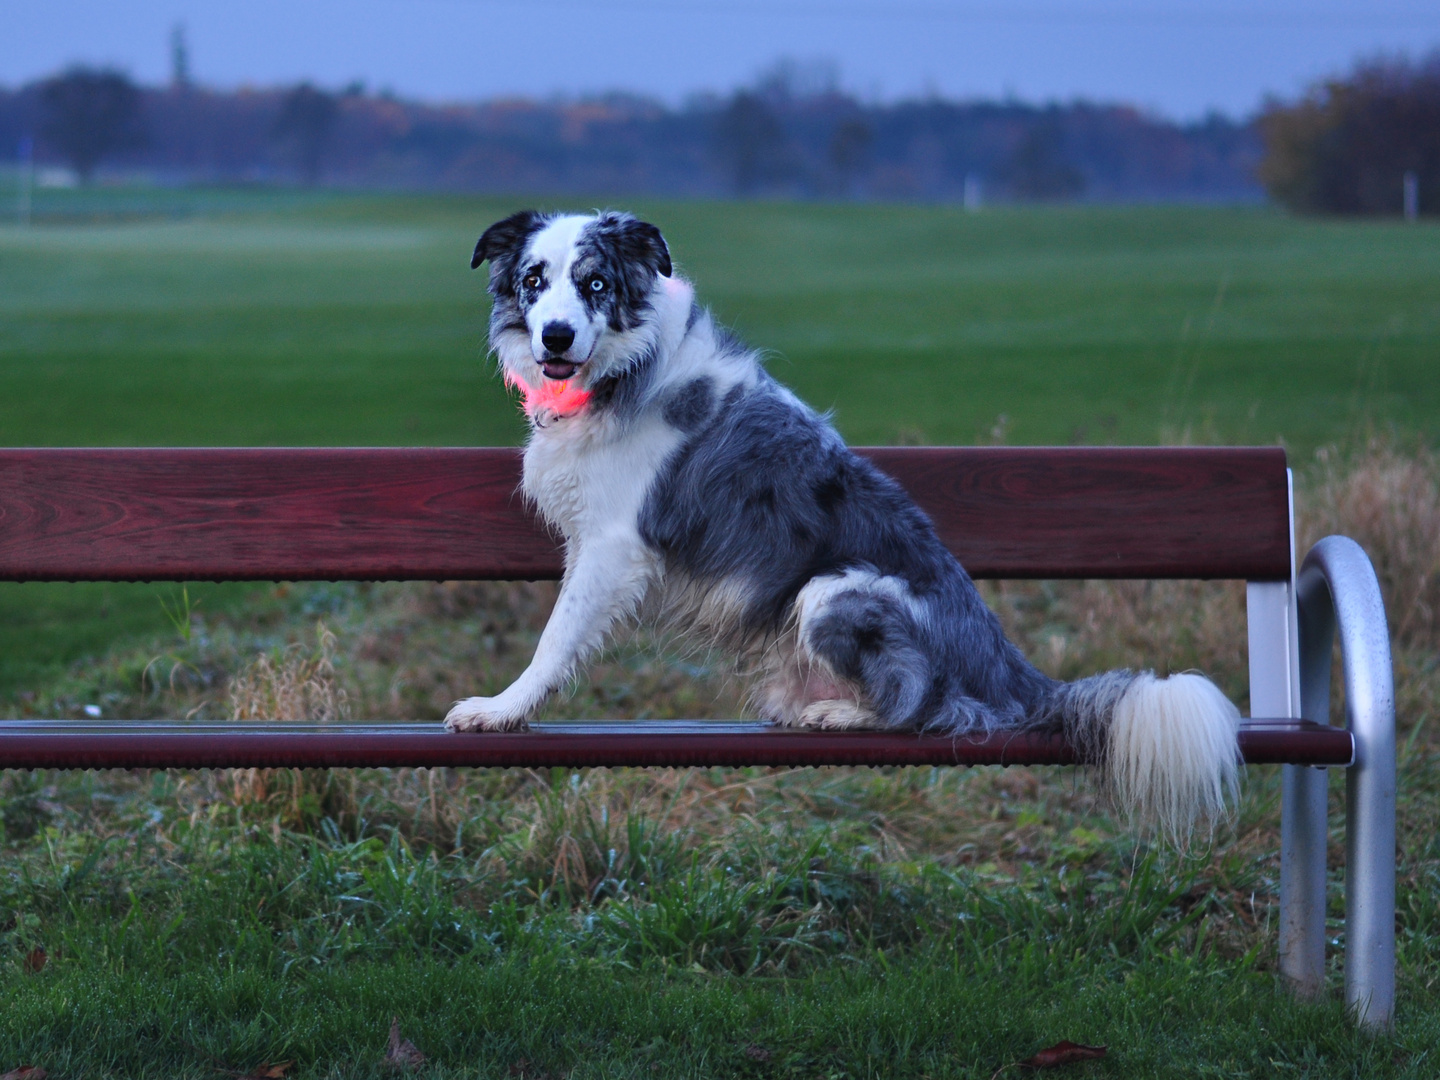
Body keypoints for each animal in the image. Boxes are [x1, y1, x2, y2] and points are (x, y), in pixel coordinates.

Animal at [443, 208, 1244, 835]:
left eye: (595, 284)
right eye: (534, 280)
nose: (553, 337)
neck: (621, 368)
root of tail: (1007, 667)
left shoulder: (613, 548)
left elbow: (555, 639)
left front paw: (501, 709)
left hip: (833, 591)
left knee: (925, 703)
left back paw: (842, 715)